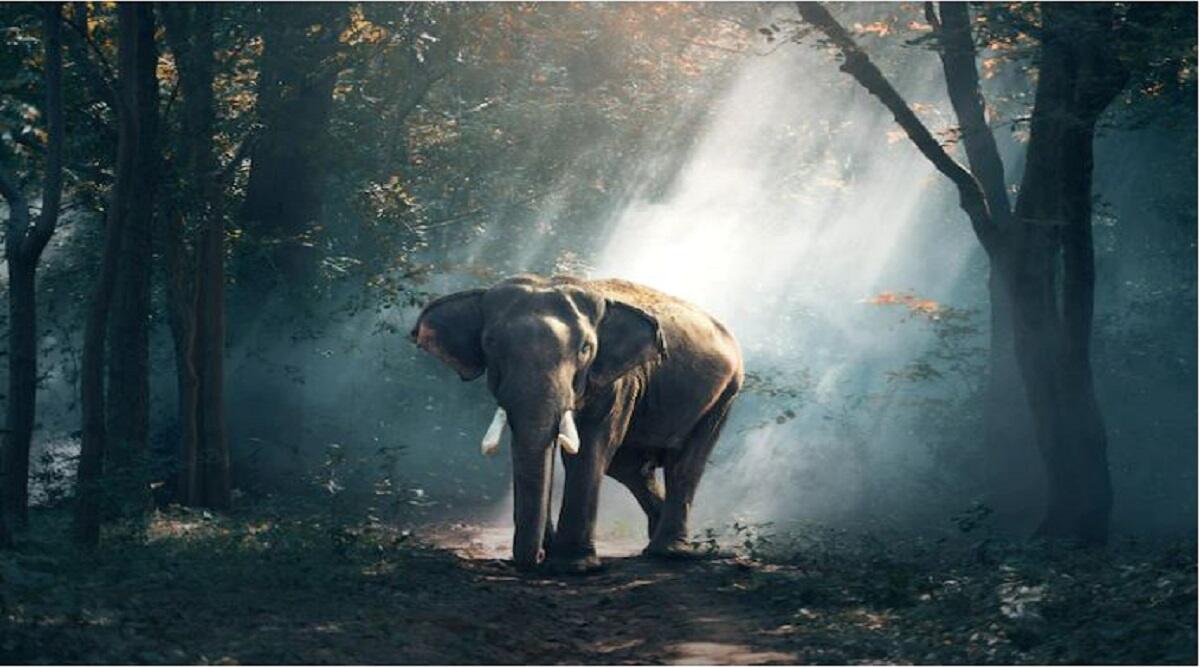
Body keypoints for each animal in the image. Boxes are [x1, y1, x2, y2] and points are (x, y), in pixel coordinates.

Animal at [411, 274, 743, 573]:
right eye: (490, 343)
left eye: (585, 349)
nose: (536, 558)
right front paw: (552, 554)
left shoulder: (618, 380)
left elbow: (589, 449)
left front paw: (573, 566)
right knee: (630, 468)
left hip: (726, 392)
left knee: (683, 465)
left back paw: (670, 552)